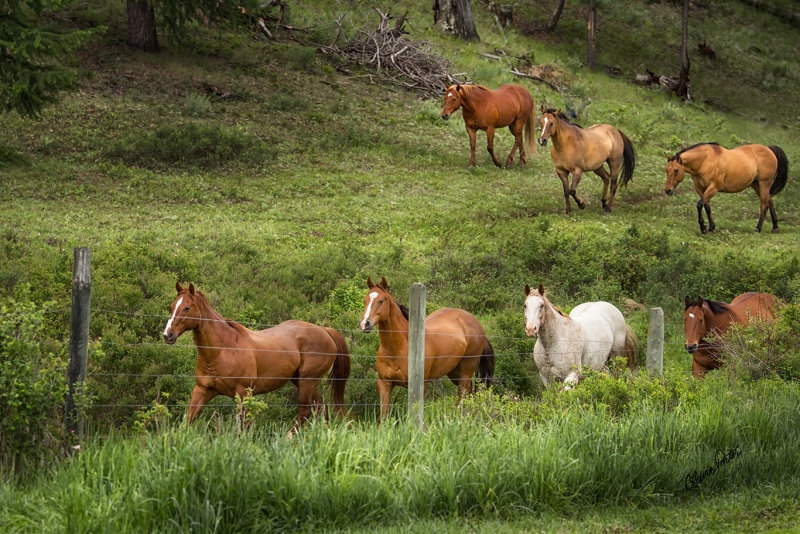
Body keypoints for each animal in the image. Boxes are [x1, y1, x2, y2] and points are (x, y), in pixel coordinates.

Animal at [162, 282, 350, 434]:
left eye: (187, 307)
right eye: (172, 306)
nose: (167, 335)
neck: (222, 349)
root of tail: (325, 330)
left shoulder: (243, 393)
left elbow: (241, 427)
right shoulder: (202, 390)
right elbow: (188, 420)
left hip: (307, 381)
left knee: (305, 412)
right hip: (301, 381)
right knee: (320, 407)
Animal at [358, 276, 494, 422]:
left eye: (381, 300)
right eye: (365, 300)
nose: (365, 324)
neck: (398, 349)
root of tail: (476, 323)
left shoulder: (418, 387)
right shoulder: (384, 384)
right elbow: (382, 418)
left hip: (466, 370)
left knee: (462, 394)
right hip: (454, 373)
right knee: (469, 392)